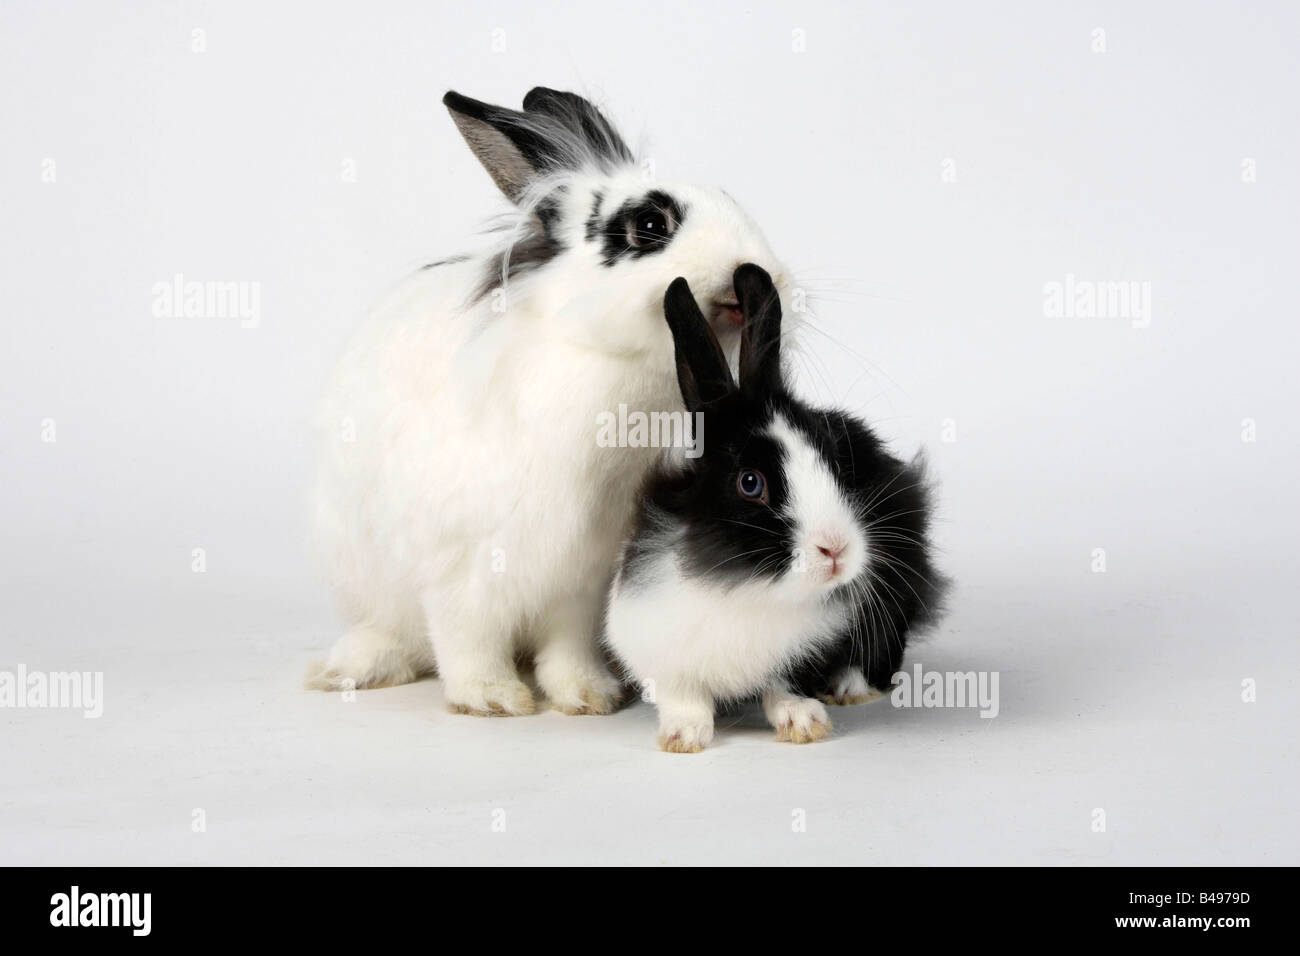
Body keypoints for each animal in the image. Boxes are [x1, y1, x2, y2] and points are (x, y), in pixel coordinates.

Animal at [306, 91, 790, 717]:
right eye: (650, 225)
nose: (764, 274)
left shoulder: (583, 577)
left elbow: (568, 642)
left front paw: (587, 696)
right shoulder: (459, 567)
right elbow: (466, 637)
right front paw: (492, 699)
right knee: (399, 633)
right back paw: (350, 668)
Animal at [603, 265, 941, 749]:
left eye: (834, 460)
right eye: (750, 483)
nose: (836, 550)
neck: (749, 587)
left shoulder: (814, 645)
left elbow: (785, 683)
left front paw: (804, 722)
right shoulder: (651, 641)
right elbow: (682, 693)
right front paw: (684, 736)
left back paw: (851, 688)